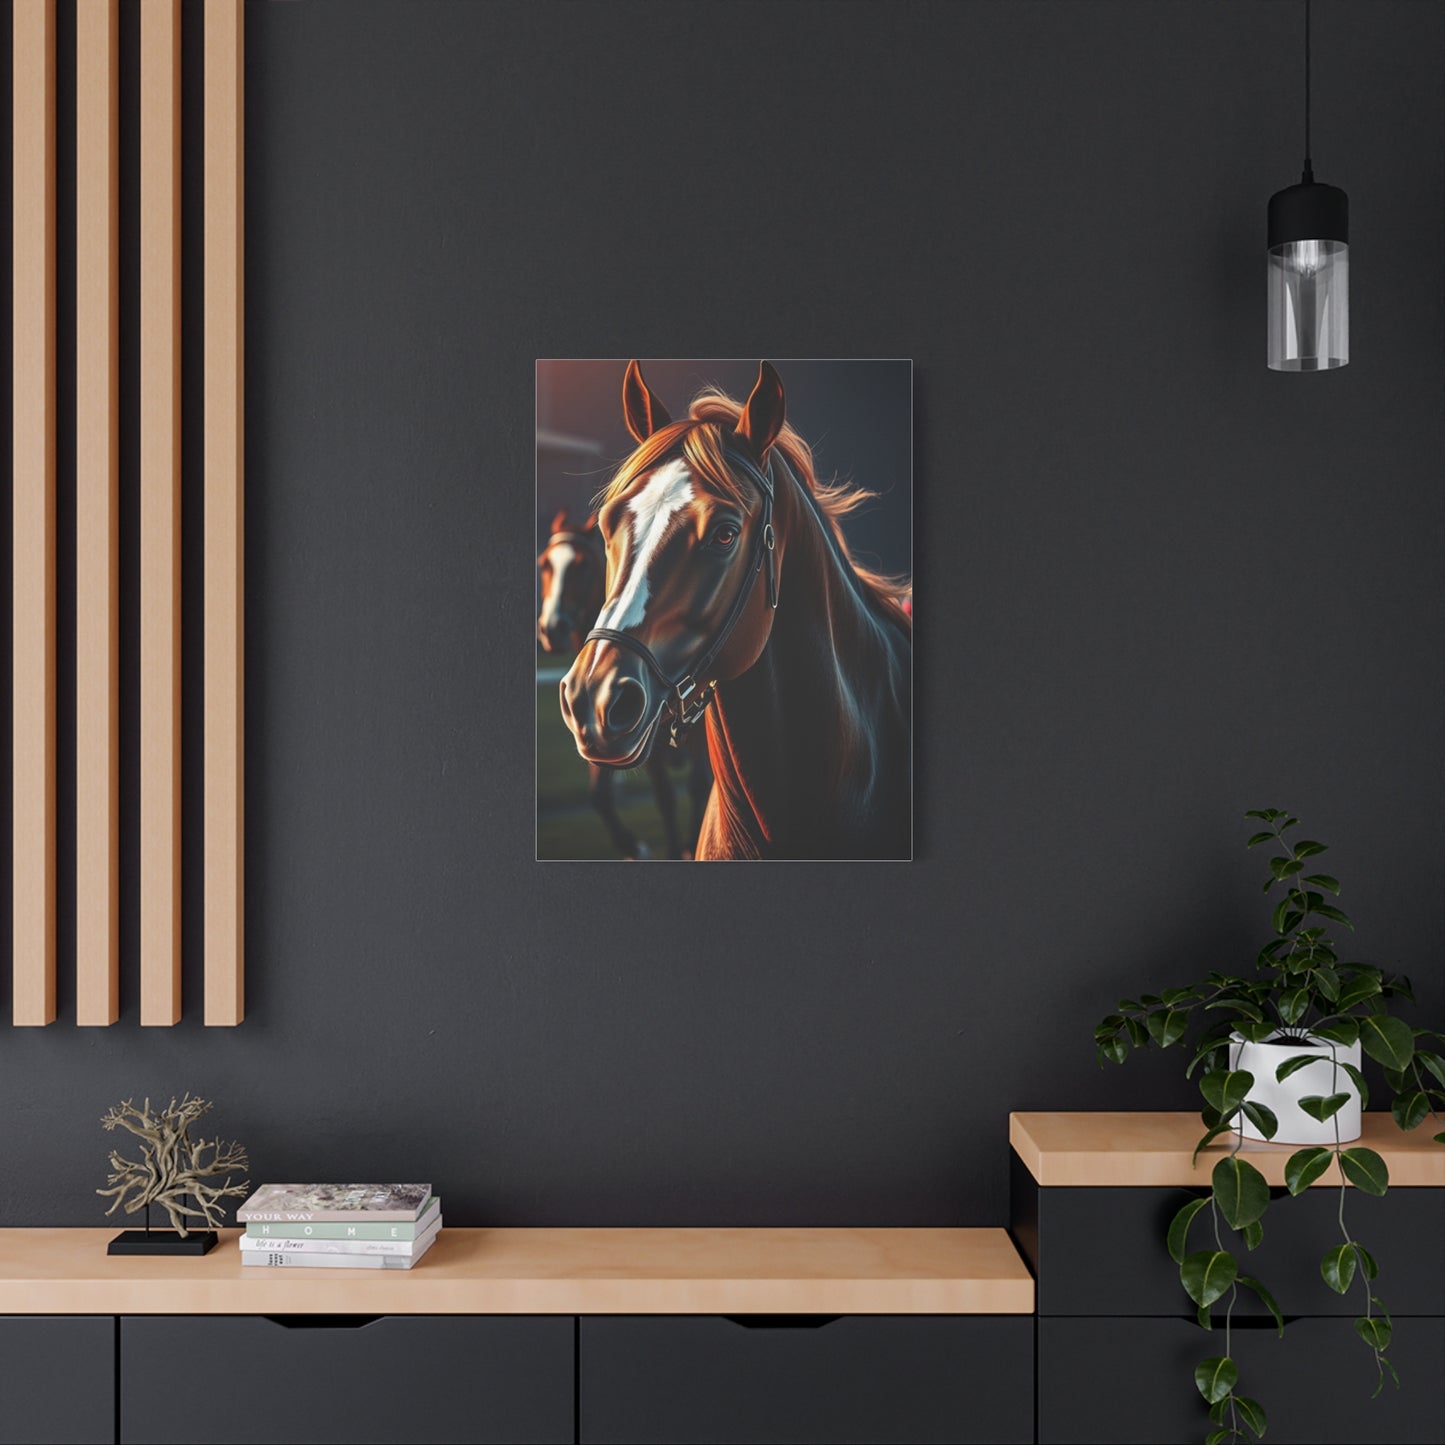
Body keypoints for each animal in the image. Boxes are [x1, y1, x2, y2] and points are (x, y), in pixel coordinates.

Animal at [538, 508, 711, 859]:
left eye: (582, 565)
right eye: (544, 564)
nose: (552, 629)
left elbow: (696, 784)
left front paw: (689, 845)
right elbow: (606, 795)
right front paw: (635, 846)